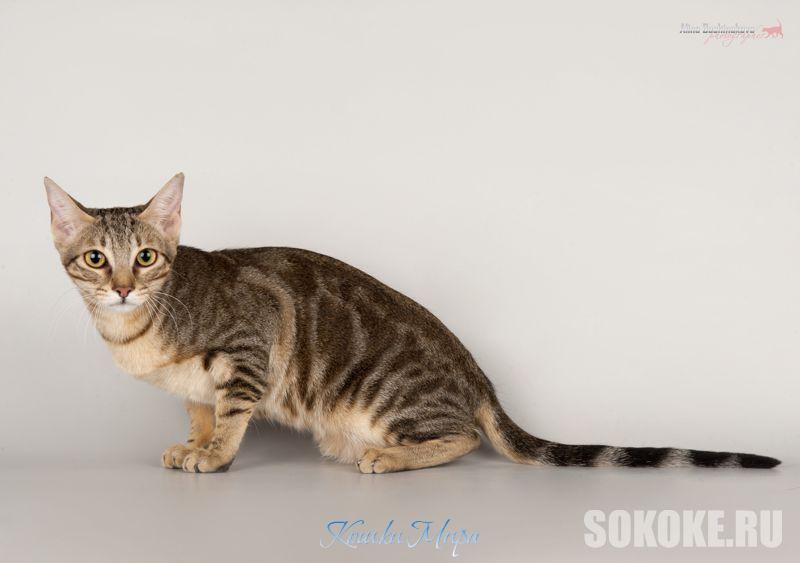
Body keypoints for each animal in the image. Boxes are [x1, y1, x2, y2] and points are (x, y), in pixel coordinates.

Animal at [45, 173, 780, 473]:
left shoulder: (252, 341)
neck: (138, 333)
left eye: (146, 257)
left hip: (381, 396)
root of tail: (480, 379)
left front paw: (216, 455)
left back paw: (387, 456)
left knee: (464, 437)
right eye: (94, 258)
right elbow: (201, 409)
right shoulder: (198, 382)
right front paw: (192, 444)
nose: (121, 286)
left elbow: (231, 414)